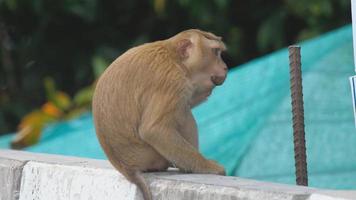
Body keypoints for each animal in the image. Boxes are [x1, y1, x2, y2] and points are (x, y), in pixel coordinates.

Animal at [92, 28, 228, 200]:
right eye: (215, 52)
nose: (225, 67)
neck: (174, 59)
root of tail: (128, 169)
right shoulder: (174, 82)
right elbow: (154, 130)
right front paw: (210, 167)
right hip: (150, 157)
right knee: (183, 112)